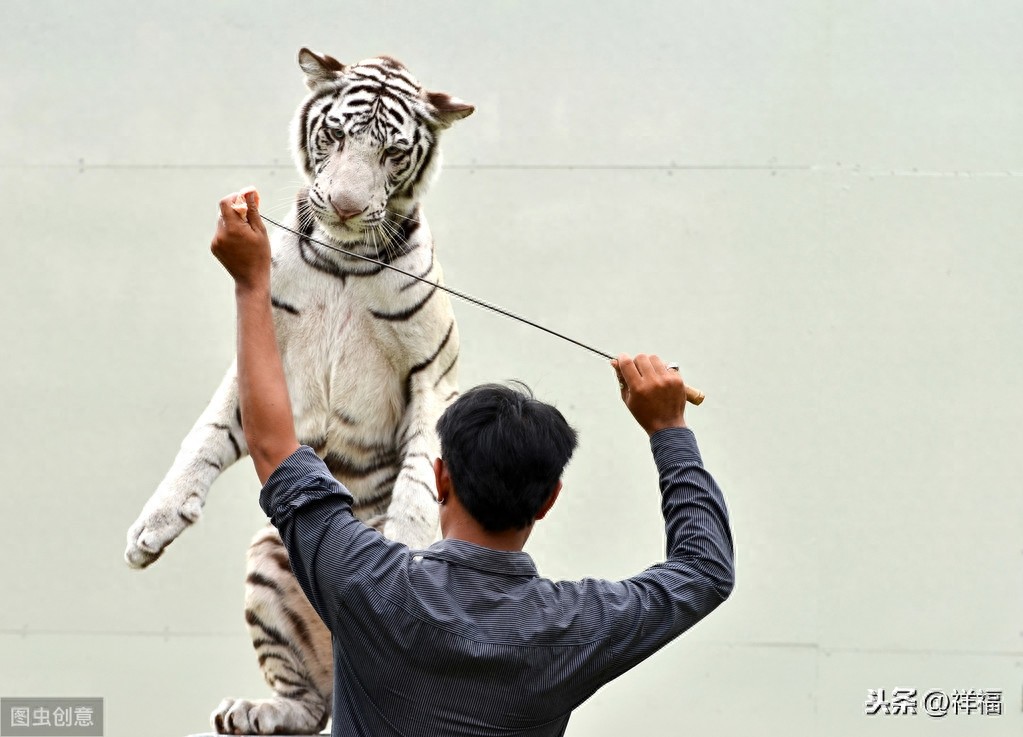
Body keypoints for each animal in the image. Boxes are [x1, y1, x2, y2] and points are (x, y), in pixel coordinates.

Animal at [124, 47, 473, 735]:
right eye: (335, 135)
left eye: (392, 153)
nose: (344, 206)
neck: (345, 260)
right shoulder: (262, 367)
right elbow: (202, 437)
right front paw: (151, 526)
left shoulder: (433, 374)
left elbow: (420, 480)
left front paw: (408, 552)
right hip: (268, 565)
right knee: (311, 703)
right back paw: (253, 711)